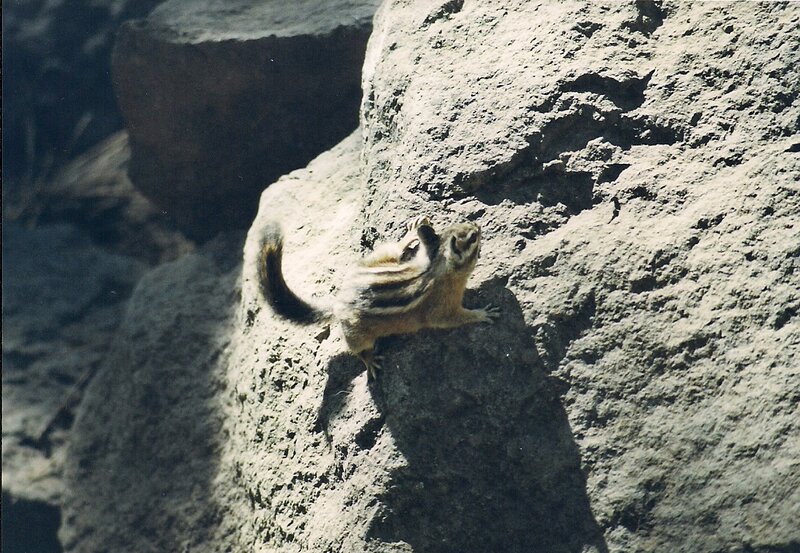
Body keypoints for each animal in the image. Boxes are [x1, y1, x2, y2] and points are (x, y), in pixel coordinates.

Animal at [257, 216, 499, 379]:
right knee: (357, 349)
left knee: (394, 249)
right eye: (473, 238)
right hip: (358, 334)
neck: (435, 267)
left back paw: (412, 232)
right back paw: (370, 360)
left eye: (462, 227)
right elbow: (452, 319)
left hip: (378, 259)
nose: (477, 226)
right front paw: (483, 313)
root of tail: (338, 300)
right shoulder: (442, 308)